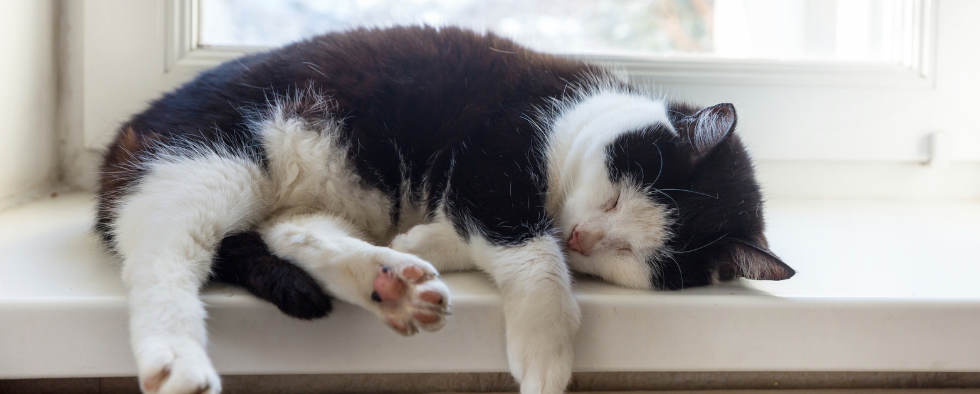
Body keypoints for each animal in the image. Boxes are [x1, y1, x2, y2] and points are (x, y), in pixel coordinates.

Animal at [95, 26, 792, 392]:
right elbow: (532, 254)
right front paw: (546, 349)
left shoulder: (481, 193)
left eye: (634, 253)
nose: (585, 237)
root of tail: (126, 131)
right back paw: (177, 360)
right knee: (160, 256)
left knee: (294, 232)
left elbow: (486, 232)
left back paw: (391, 280)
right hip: (213, 160)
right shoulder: (491, 148)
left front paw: (422, 244)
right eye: (616, 194)